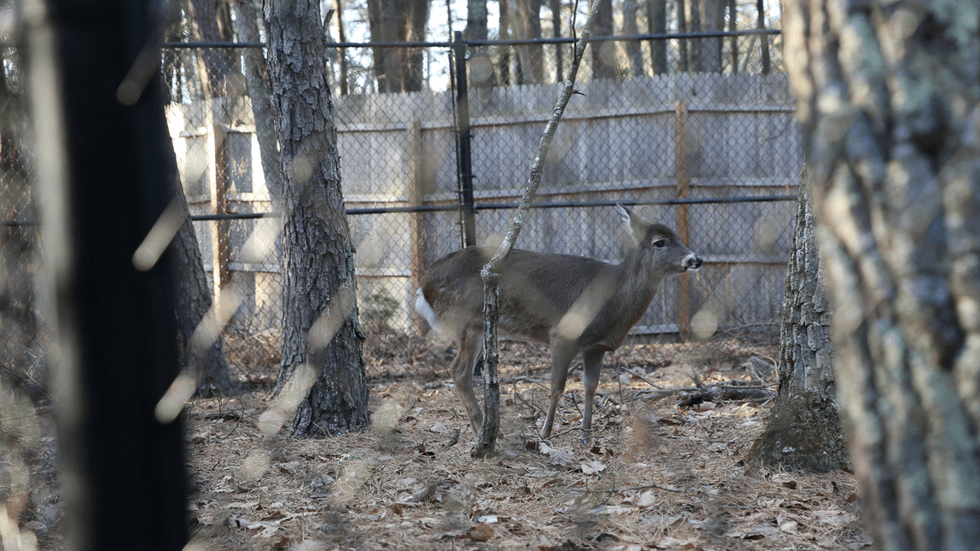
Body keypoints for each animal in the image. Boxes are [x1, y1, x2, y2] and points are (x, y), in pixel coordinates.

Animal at [415, 204, 703, 443]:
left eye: (678, 237)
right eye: (660, 242)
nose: (696, 259)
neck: (613, 296)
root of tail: (424, 282)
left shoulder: (595, 346)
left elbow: (590, 387)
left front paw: (586, 436)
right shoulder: (562, 334)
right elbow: (557, 387)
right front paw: (545, 433)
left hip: (474, 326)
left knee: (459, 371)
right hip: (462, 319)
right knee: (459, 370)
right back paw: (480, 433)